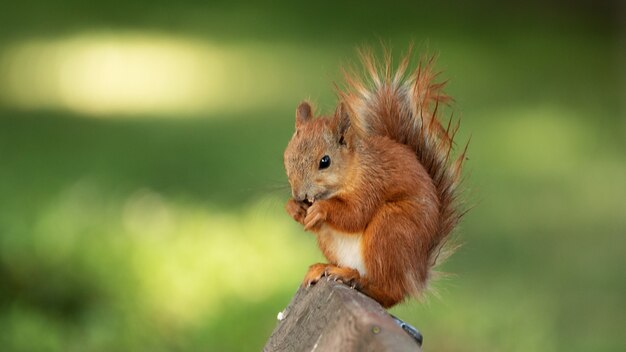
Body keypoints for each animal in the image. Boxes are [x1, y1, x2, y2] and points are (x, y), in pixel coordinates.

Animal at [282, 49, 464, 308]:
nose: (300, 196)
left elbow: (355, 214)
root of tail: (416, 275)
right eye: (287, 157)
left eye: (325, 161)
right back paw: (326, 268)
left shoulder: (373, 183)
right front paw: (294, 209)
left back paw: (354, 278)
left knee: (389, 292)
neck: (354, 170)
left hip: (391, 228)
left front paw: (321, 209)